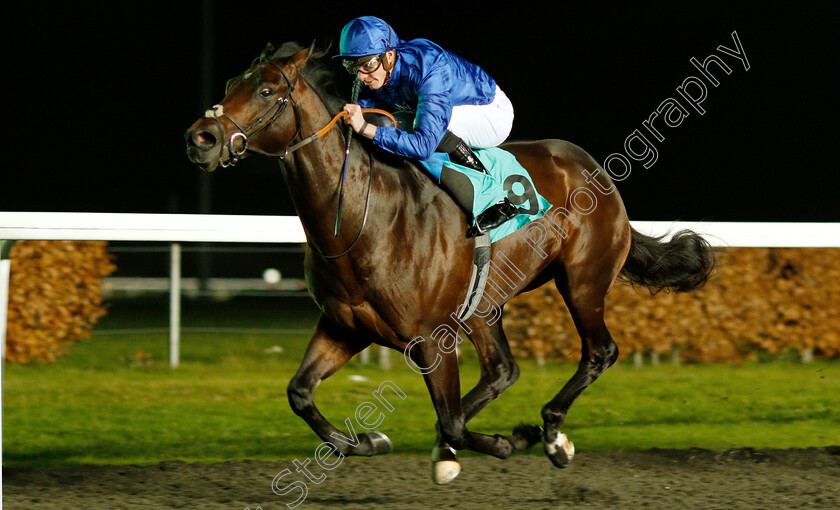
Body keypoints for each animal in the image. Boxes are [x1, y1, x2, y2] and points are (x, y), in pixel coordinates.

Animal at [184, 42, 716, 482]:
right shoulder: (343, 326)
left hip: (582, 281)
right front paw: (368, 440)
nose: (201, 137)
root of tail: (594, 169)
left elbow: (453, 420)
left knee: (598, 352)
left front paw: (507, 439)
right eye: (230, 84)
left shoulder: (430, 338)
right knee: (502, 370)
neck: (362, 219)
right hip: (484, 303)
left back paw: (550, 434)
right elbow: (300, 392)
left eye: (266, 90)